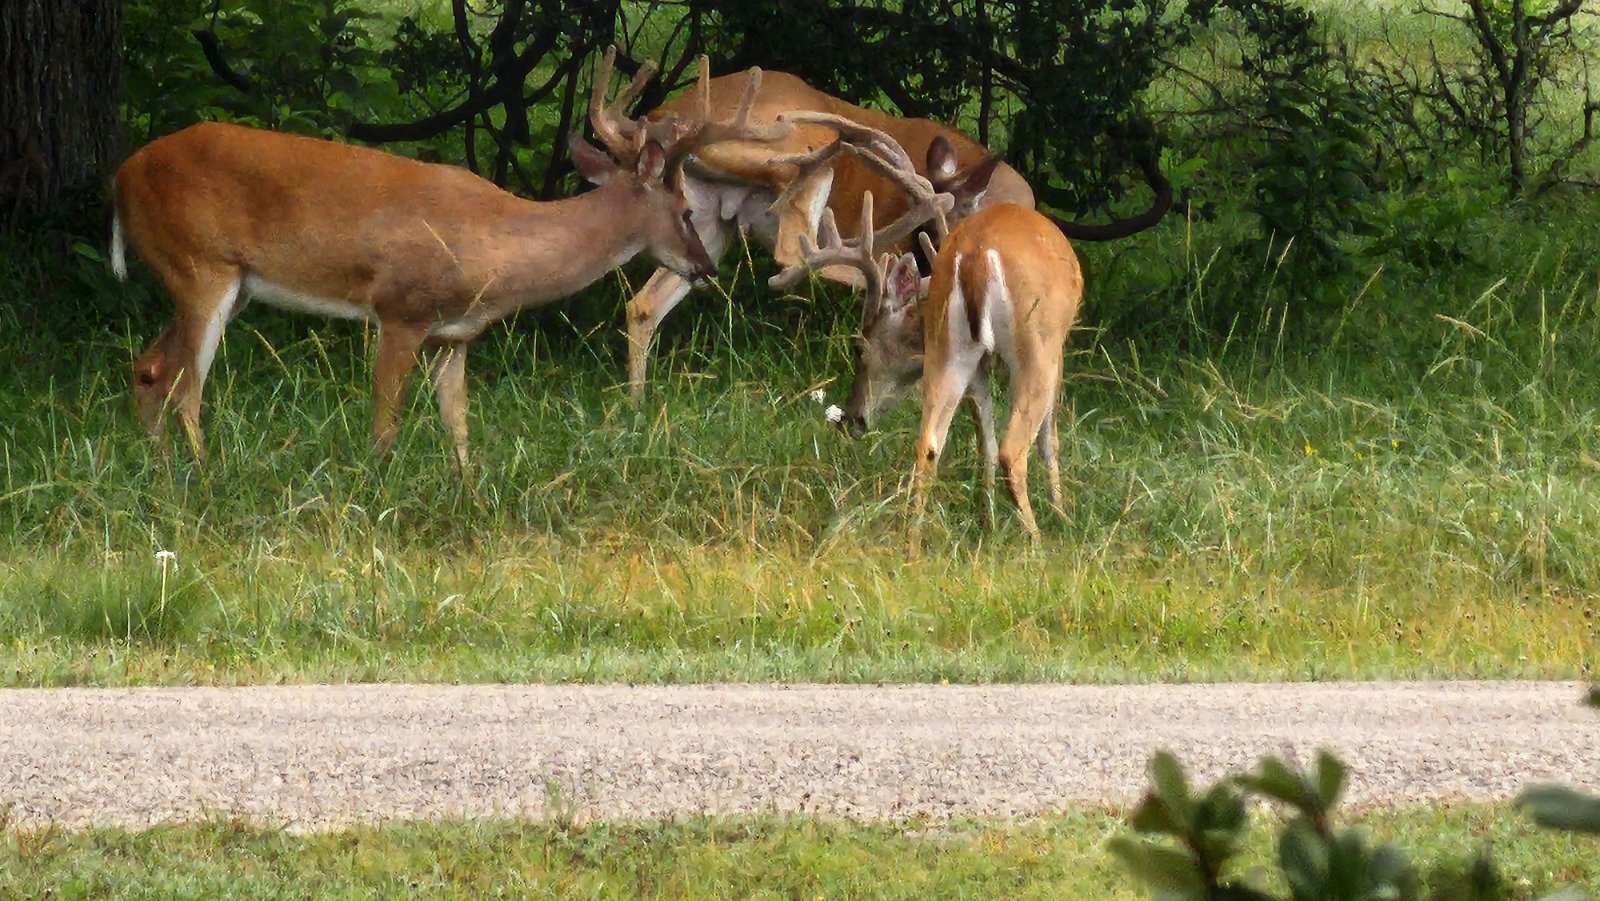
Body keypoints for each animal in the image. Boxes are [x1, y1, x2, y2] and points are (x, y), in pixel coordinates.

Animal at [111, 55, 746, 466]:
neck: (498, 246)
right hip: (201, 265)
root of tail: (120, 177)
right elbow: (385, 425)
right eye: (687, 210)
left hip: (224, 283)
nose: (707, 269)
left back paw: (161, 473)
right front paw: (375, 491)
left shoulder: (454, 334)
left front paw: (468, 497)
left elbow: (458, 428)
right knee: (185, 385)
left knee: (149, 368)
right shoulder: (400, 310)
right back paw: (203, 478)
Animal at [589, 51, 1165, 402]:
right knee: (798, 230)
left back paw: (637, 404)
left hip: (707, 219)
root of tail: (658, 121)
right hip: (786, 135)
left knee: (644, 304)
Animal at [776, 186, 1084, 545]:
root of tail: (976, 258)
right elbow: (1048, 438)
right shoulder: (1057, 349)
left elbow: (985, 443)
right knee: (1013, 448)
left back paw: (914, 540)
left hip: (951, 349)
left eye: (857, 348)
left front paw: (989, 522)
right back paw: (1037, 539)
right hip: (1037, 342)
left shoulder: (979, 365)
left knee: (930, 443)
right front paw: (1060, 514)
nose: (851, 418)